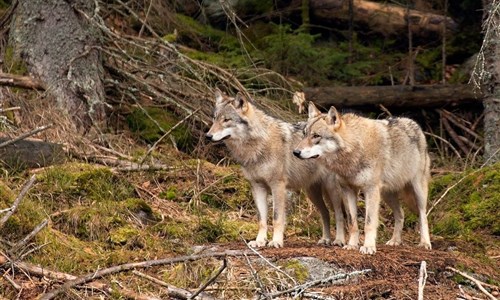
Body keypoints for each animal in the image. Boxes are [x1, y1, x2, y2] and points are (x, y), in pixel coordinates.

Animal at [205, 91, 346, 248]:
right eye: (214, 118)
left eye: (226, 120)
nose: (208, 136)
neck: (258, 145)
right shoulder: (257, 187)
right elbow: (261, 219)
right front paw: (260, 241)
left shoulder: (277, 186)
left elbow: (277, 217)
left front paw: (276, 241)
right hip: (312, 193)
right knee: (325, 213)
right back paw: (325, 239)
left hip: (332, 189)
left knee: (339, 214)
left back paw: (339, 240)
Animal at [294, 102, 432, 254]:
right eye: (304, 134)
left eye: (316, 136)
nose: (295, 152)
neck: (354, 148)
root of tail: (415, 124)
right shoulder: (348, 191)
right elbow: (352, 222)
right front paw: (352, 245)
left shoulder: (370, 190)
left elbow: (369, 222)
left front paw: (368, 247)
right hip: (386, 195)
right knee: (400, 214)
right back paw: (395, 241)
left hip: (417, 191)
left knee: (423, 215)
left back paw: (425, 243)